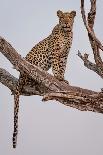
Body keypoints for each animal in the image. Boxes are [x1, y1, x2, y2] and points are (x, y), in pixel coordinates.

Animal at [12, 9, 75, 148]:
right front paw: (58, 78)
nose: (66, 23)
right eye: (62, 18)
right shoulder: (55, 52)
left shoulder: (64, 55)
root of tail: (19, 78)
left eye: (69, 17)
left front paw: (63, 78)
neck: (66, 33)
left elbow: (62, 67)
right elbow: (56, 67)